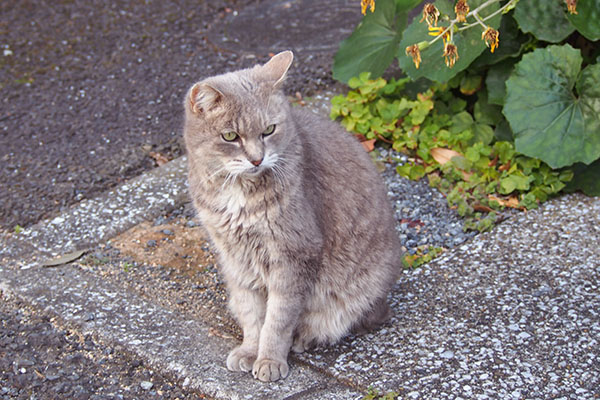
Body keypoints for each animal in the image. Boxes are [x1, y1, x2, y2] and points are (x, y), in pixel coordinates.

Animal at [182, 50, 398, 382]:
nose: (256, 159)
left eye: (269, 130)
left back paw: (304, 337)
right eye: (230, 136)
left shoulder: (294, 254)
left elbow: (278, 318)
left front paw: (269, 359)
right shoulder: (236, 258)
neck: (239, 190)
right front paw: (250, 350)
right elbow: (252, 313)